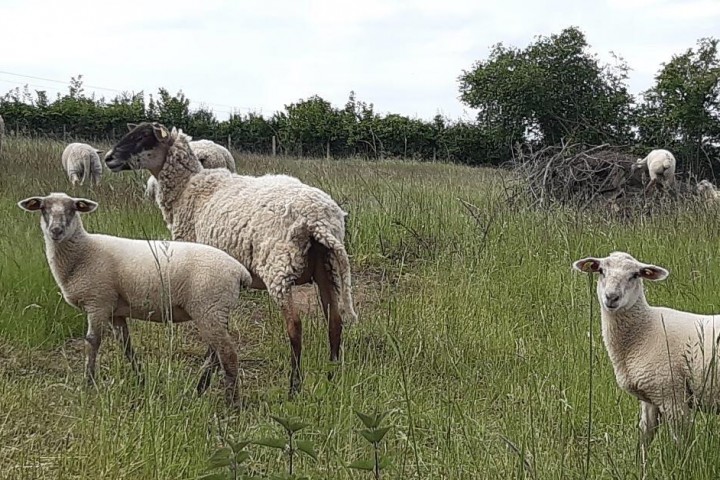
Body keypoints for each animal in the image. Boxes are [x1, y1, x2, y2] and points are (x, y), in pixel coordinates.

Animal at [17, 191, 253, 404]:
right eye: (43, 208)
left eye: (72, 209)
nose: (56, 231)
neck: (83, 252)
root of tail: (239, 271)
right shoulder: (115, 311)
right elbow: (127, 346)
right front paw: (141, 380)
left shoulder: (98, 302)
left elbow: (93, 341)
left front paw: (88, 384)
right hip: (215, 311)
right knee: (215, 352)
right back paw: (200, 388)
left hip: (208, 307)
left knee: (227, 353)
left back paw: (232, 404)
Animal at [103, 122, 358, 396]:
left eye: (142, 137)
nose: (108, 158)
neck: (189, 188)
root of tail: (318, 220)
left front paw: (204, 381)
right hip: (326, 268)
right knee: (335, 323)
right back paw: (332, 379)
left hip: (278, 269)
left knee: (295, 327)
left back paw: (294, 388)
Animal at [572, 253, 720, 464]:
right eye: (601, 270)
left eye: (635, 275)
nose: (611, 297)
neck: (643, 331)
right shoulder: (650, 397)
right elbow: (645, 436)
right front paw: (640, 465)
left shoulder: (671, 394)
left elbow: (683, 441)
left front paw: (684, 465)